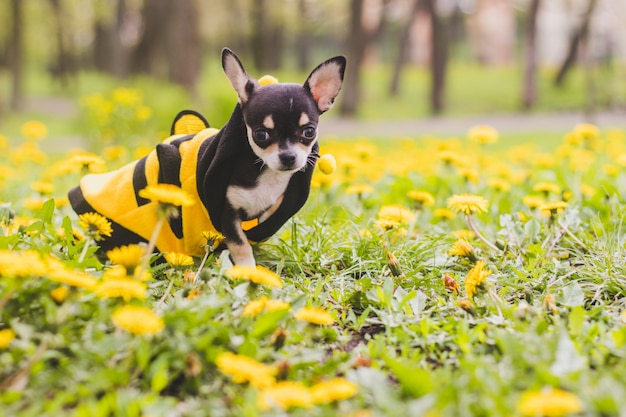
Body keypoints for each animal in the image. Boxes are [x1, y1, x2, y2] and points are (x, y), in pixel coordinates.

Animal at [68, 47, 346, 264]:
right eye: (261, 134)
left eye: (309, 131)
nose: (288, 157)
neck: (265, 173)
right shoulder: (227, 213)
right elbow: (241, 244)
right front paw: (248, 271)